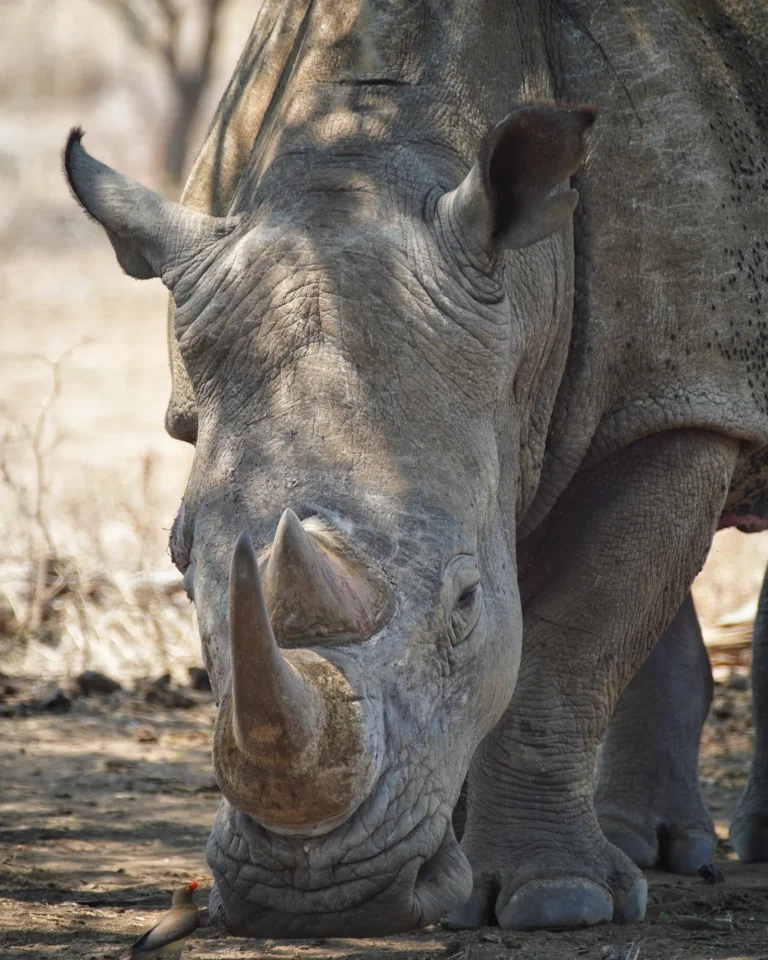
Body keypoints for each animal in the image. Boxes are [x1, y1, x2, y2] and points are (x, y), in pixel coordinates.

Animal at [64, 0, 768, 938]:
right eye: (179, 566)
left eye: (464, 603)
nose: (310, 898)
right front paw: (461, 878)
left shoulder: (686, 386)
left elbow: (570, 640)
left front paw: (556, 903)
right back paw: (654, 848)